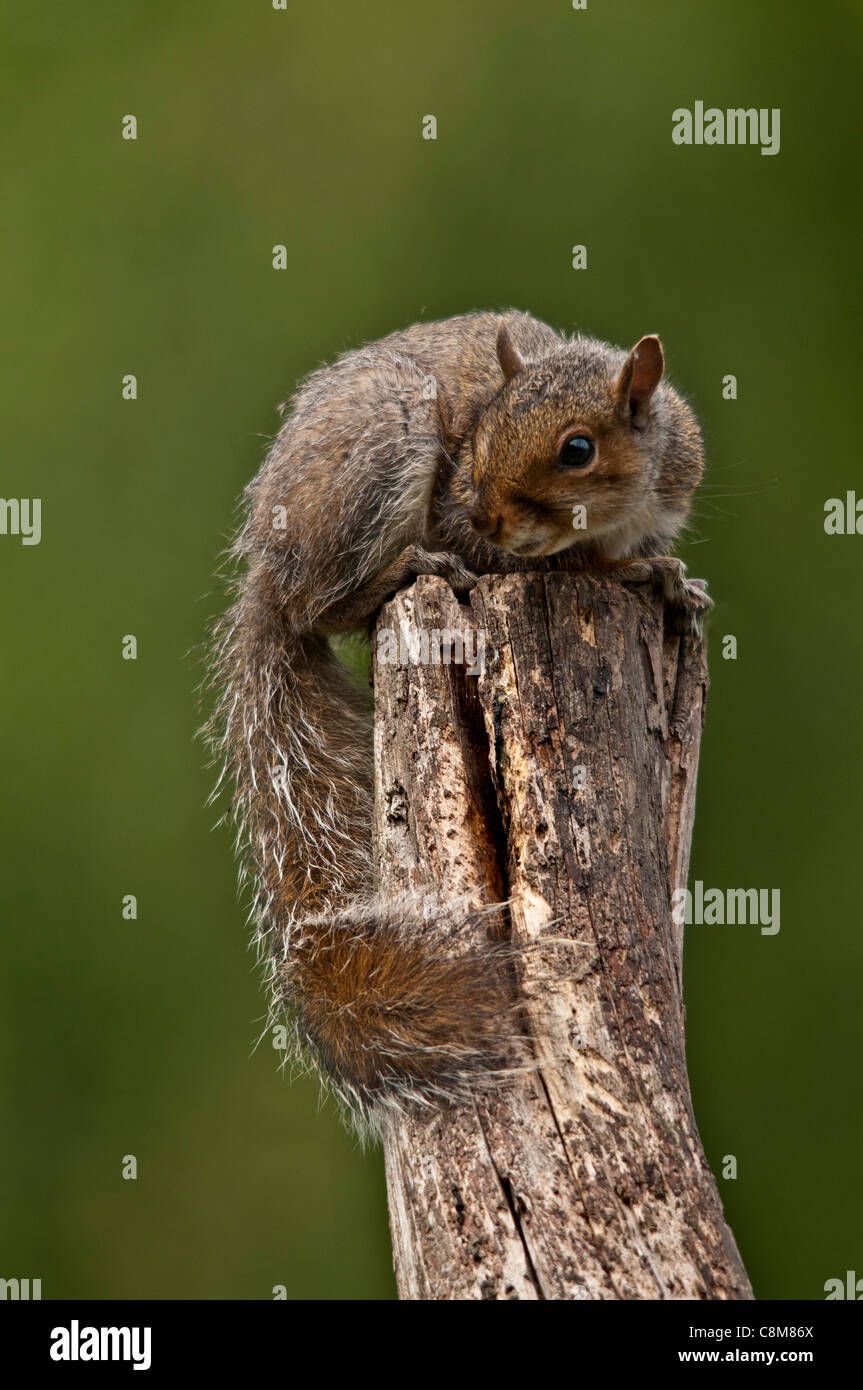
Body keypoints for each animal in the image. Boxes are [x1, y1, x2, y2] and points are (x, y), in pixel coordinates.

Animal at [208, 312, 705, 1128]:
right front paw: (631, 571)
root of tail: (269, 575)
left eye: (578, 450)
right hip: (382, 448)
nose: (484, 513)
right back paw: (408, 569)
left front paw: (668, 577)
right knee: (319, 606)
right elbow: (552, 564)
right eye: (479, 435)